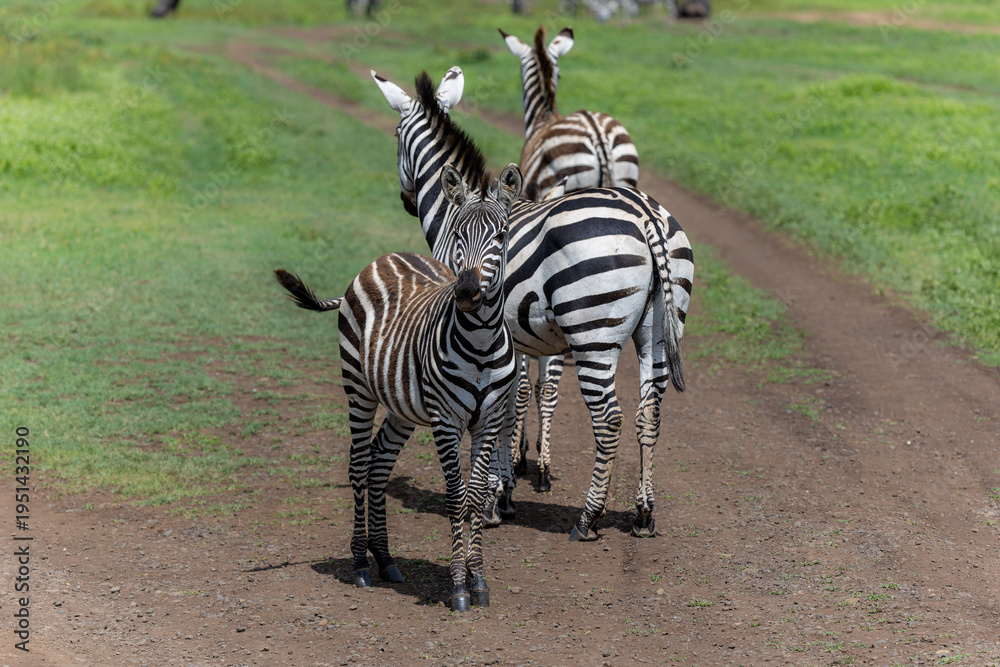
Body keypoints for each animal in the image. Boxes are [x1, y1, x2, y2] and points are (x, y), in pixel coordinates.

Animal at [274, 163, 522, 611]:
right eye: (458, 233)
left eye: (500, 235)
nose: (467, 291)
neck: (479, 341)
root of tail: (383, 257)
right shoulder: (445, 421)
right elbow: (456, 496)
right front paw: (458, 586)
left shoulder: (489, 419)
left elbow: (477, 497)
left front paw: (478, 579)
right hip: (358, 389)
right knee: (358, 464)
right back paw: (360, 563)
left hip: (403, 406)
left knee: (379, 463)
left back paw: (385, 558)